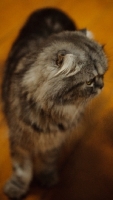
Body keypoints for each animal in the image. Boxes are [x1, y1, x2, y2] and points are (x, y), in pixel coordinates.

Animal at [1, 7, 107, 199]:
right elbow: (21, 169)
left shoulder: (55, 141)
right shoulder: (19, 139)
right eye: (89, 82)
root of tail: (52, 8)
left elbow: (48, 160)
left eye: (102, 75)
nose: (101, 86)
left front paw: (46, 177)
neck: (52, 110)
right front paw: (17, 188)